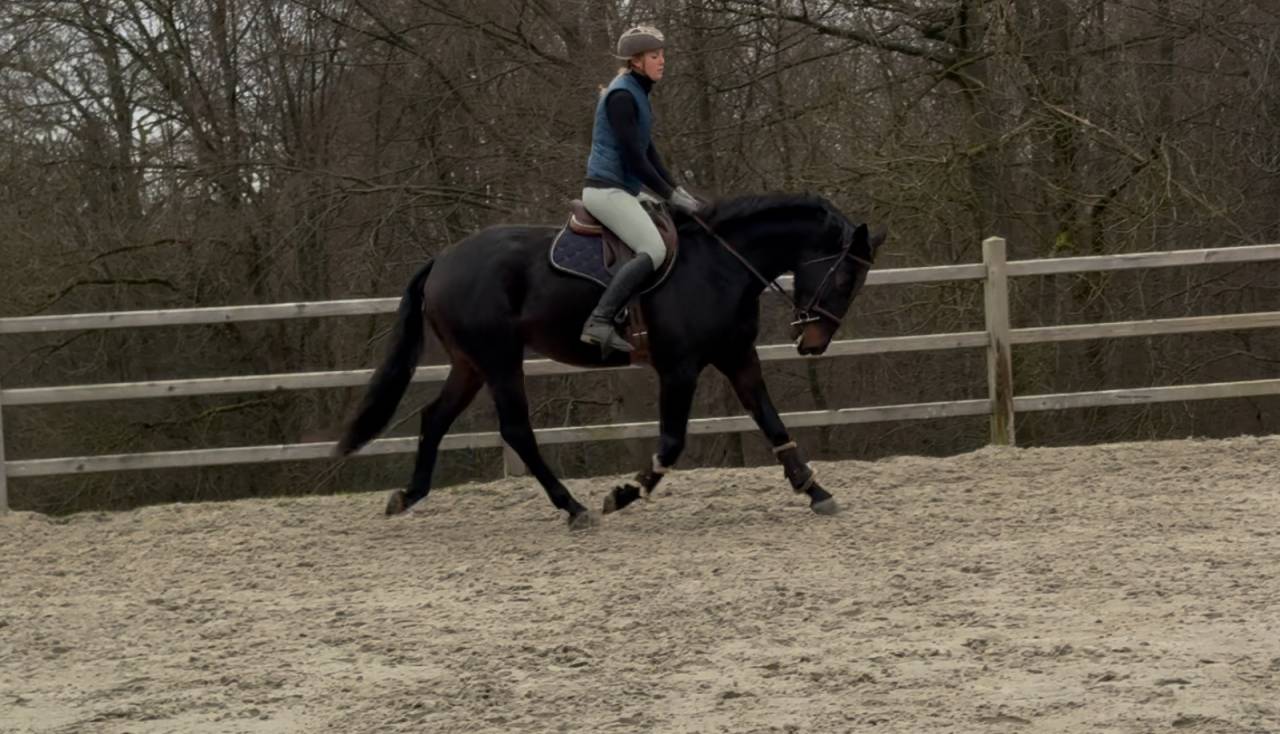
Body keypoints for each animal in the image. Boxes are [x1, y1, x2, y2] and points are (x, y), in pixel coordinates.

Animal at [335, 193, 886, 529]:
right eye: (843, 277)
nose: (814, 343)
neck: (720, 266)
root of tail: (443, 259)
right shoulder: (680, 368)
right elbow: (672, 442)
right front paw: (625, 493)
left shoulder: (737, 357)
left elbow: (773, 424)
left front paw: (815, 490)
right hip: (499, 360)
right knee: (515, 431)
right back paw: (574, 507)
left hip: (471, 364)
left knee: (435, 418)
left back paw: (408, 494)